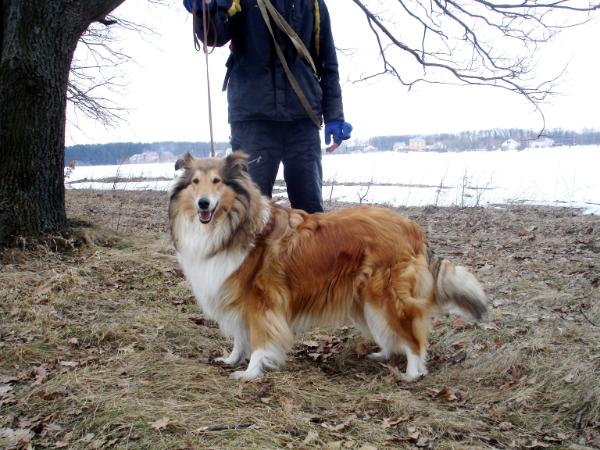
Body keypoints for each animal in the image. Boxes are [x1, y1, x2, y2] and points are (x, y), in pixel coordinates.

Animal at [169, 153, 488, 382]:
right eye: (195, 181)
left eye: (217, 181)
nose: (203, 204)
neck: (234, 225)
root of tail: (414, 228)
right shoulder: (239, 298)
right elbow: (240, 337)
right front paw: (232, 360)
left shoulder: (262, 303)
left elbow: (259, 340)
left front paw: (249, 373)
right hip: (364, 299)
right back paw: (381, 355)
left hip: (385, 297)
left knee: (414, 337)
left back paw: (412, 373)